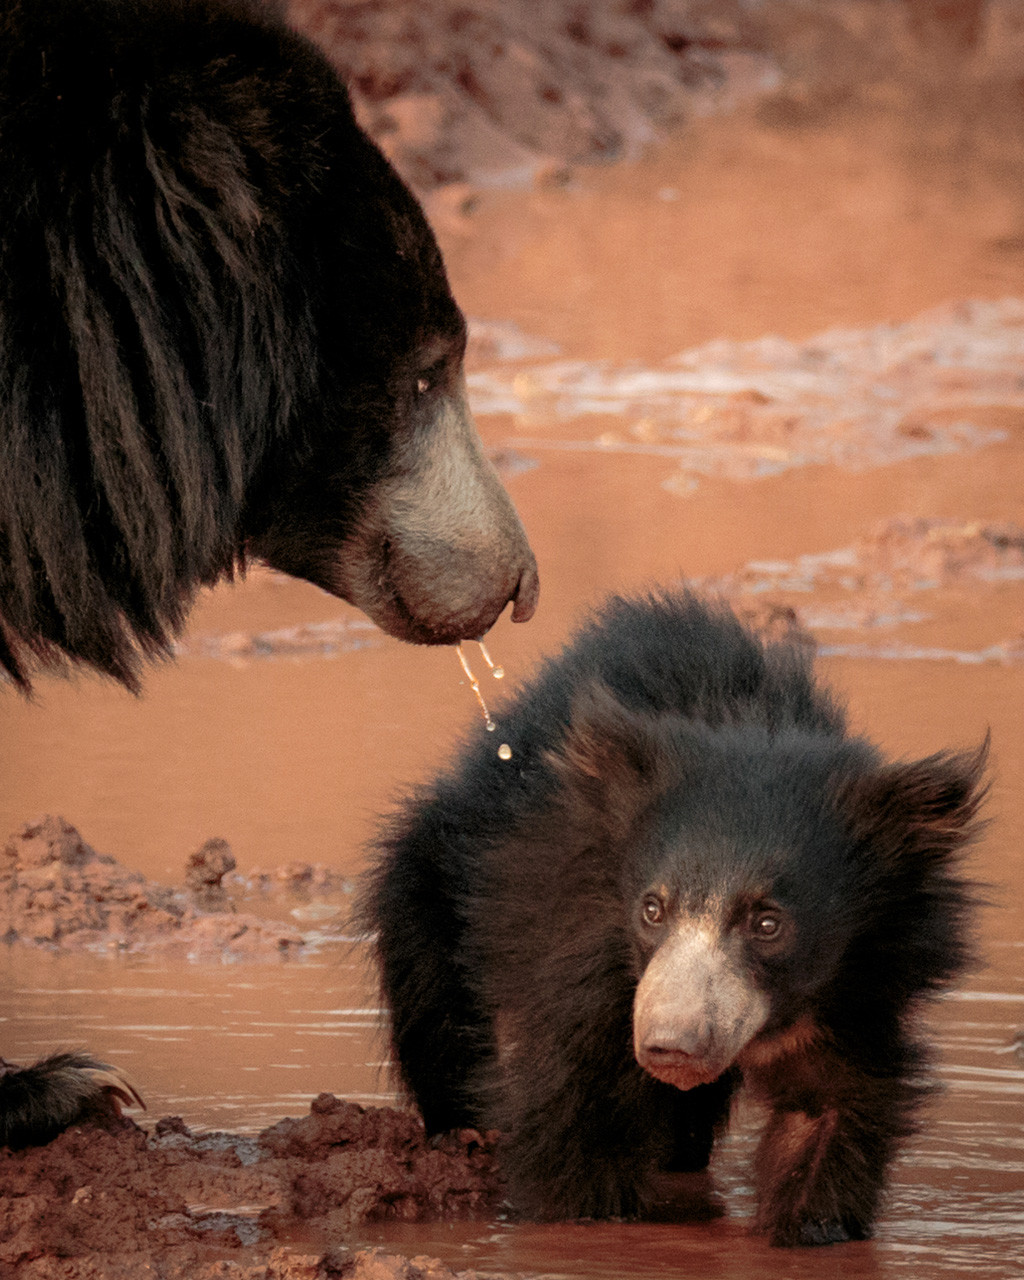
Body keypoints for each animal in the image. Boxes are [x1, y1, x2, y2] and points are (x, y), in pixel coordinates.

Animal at [361, 590, 986, 1246]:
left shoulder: (861, 986)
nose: (671, 1047)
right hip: (426, 911)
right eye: (652, 908)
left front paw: (814, 1228)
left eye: (768, 924)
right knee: (440, 1036)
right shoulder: (566, 946)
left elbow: (830, 1107)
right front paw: (581, 1221)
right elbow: (572, 1112)